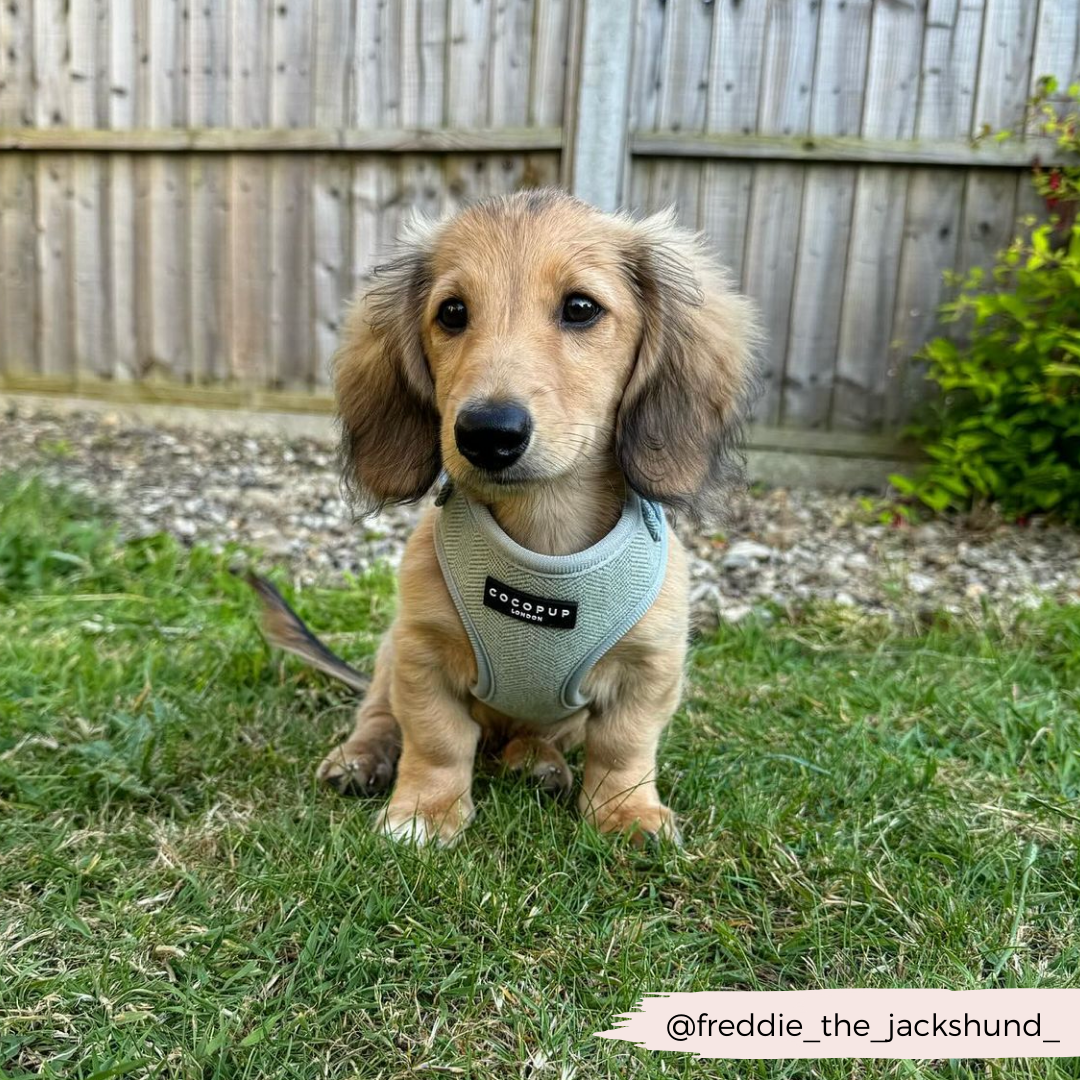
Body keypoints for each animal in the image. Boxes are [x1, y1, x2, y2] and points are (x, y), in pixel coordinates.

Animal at [252, 190, 760, 842]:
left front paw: (626, 812)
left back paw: (536, 762)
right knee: (381, 713)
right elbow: (436, 740)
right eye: (452, 312)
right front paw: (425, 810)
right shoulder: (421, 654)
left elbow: (624, 747)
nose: (487, 434)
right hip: (390, 656)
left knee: (536, 735)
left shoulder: (651, 668)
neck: (543, 542)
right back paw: (362, 757)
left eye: (580, 308)